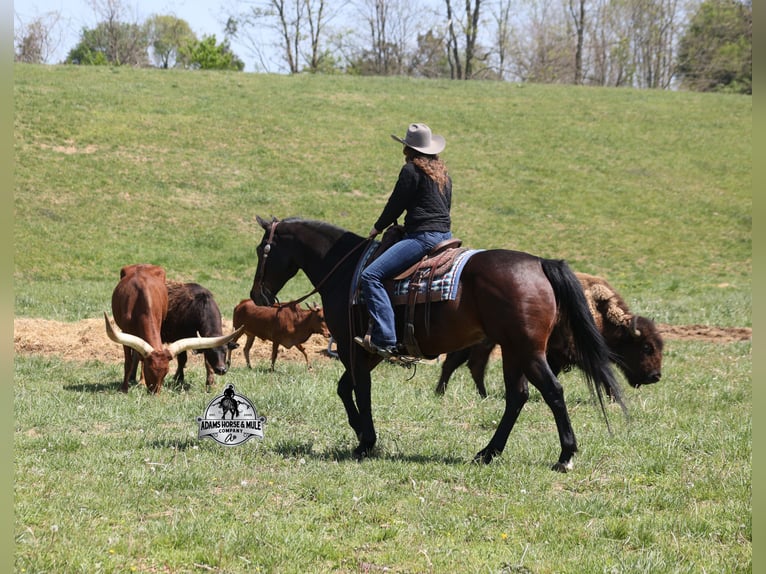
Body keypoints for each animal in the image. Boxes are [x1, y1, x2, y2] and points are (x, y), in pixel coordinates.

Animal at [249, 216, 627, 472]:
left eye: (260, 250)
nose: (257, 296)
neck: (347, 270)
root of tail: (539, 264)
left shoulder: (353, 348)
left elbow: (357, 390)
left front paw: (365, 440)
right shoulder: (369, 351)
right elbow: (347, 389)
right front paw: (362, 436)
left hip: (528, 351)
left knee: (552, 392)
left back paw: (564, 456)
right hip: (514, 352)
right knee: (517, 398)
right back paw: (488, 453)